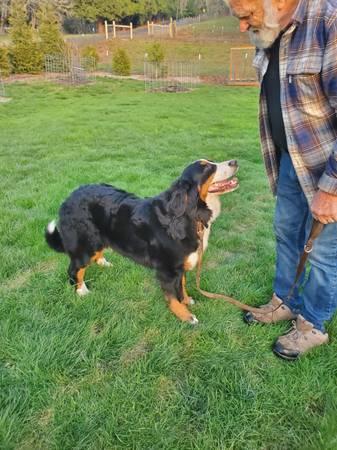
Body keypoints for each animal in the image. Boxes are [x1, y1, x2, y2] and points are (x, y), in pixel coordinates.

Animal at [46, 158, 238, 324]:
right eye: (206, 168)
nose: (234, 161)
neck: (188, 215)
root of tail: (69, 197)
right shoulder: (167, 270)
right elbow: (172, 296)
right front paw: (185, 315)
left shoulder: (180, 264)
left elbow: (182, 285)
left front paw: (186, 299)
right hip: (85, 245)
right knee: (75, 270)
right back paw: (81, 291)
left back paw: (103, 262)